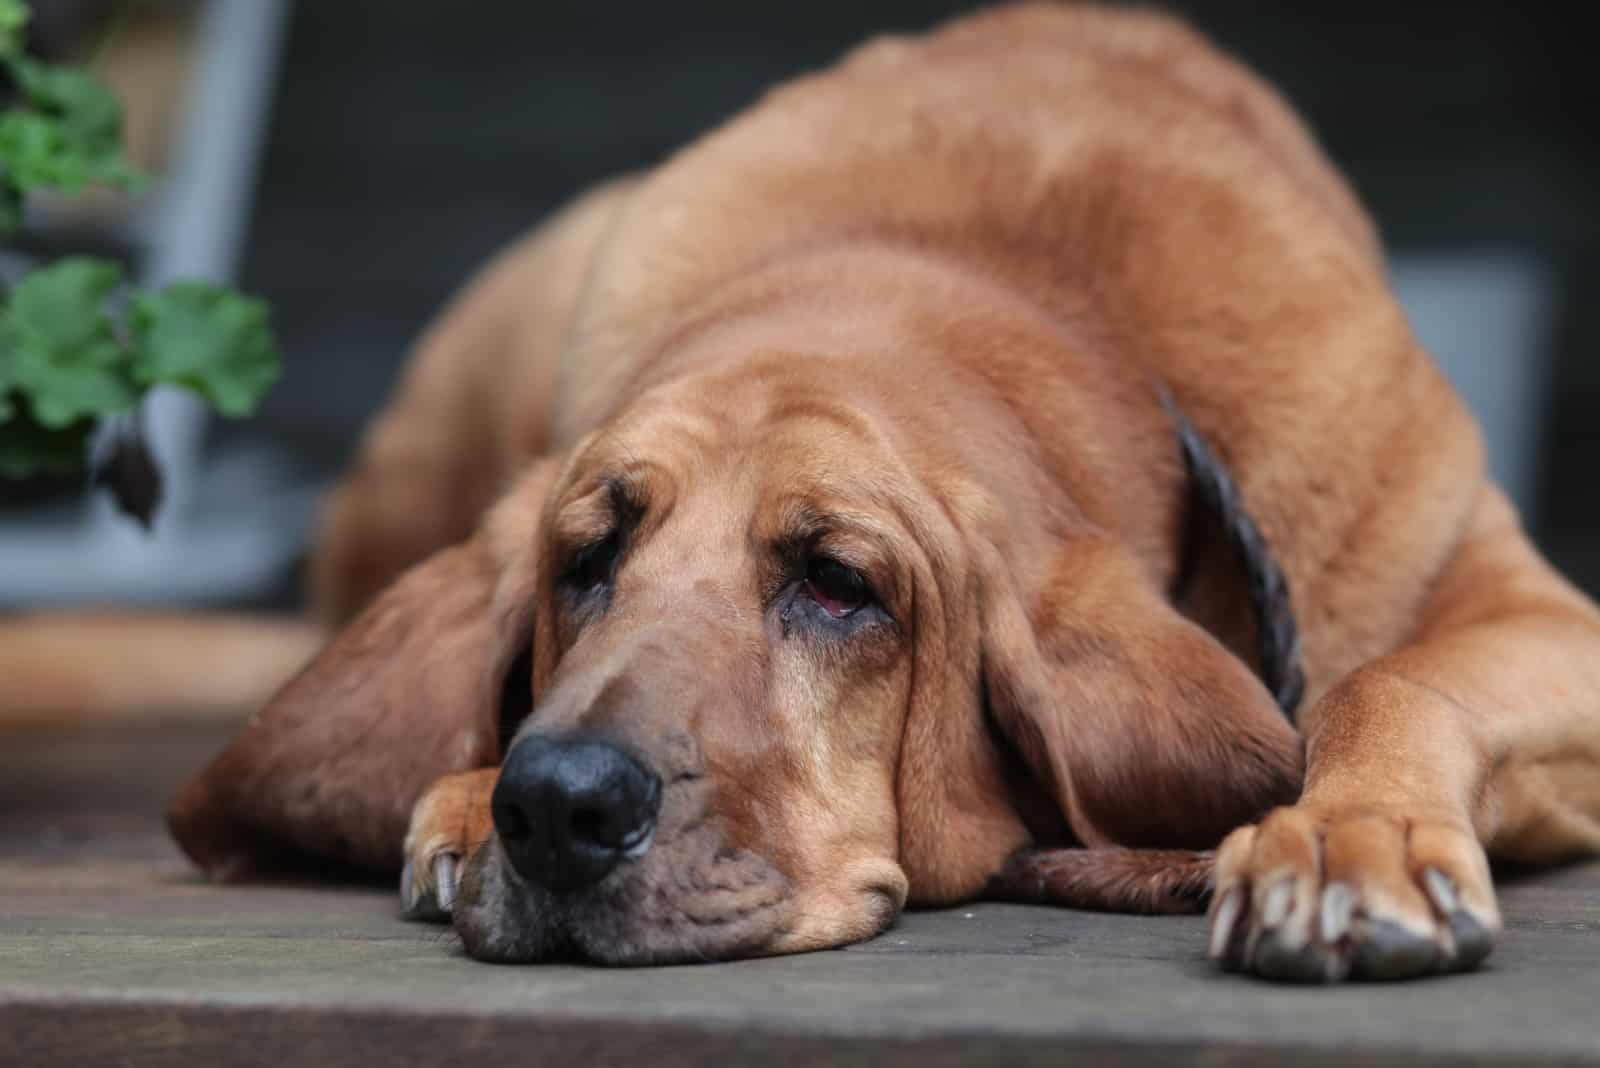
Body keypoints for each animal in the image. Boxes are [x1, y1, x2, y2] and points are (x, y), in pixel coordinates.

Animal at [131, 4, 1593, 978]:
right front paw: (456, 799)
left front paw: (1348, 836)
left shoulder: (1534, 613)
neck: (1020, 286)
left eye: (839, 584)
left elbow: (1387, 680)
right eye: (587, 559)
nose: (555, 807)